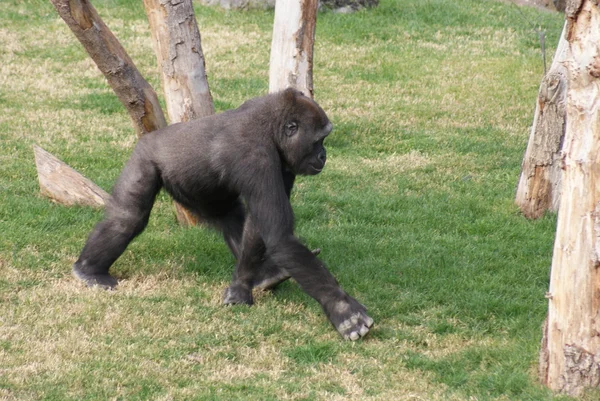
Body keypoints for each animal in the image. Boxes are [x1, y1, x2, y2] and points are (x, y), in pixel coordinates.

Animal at [72, 86, 372, 338]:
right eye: (319, 140)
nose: (324, 156)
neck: (270, 129)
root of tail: (148, 136)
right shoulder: (256, 157)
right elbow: (278, 235)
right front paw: (341, 308)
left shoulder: (283, 163)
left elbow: (260, 225)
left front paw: (241, 287)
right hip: (145, 158)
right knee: (128, 216)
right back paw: (89, 270)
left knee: (229, 216)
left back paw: (266, 274)